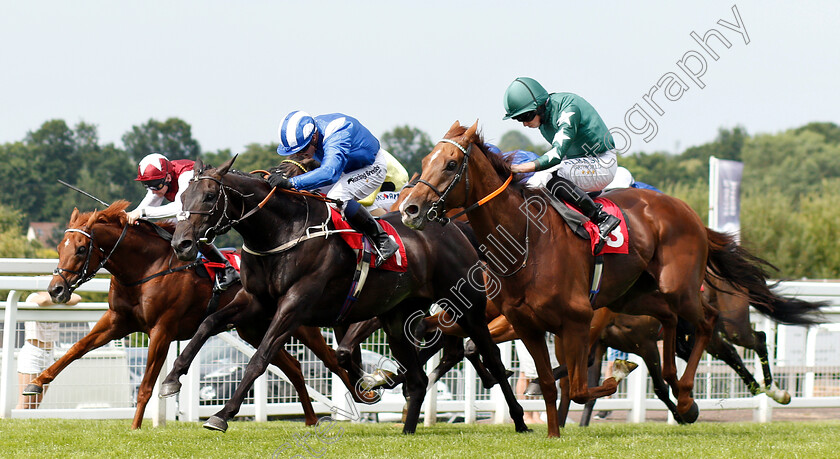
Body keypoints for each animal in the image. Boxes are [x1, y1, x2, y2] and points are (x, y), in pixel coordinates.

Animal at [39, 203, 360, 430]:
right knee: (293, 367)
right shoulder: (117, 321)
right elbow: (76, 349)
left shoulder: (162, 330)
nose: (56, 289)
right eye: (58, 248)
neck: (147, 268)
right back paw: (311, 419)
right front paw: (38, 383)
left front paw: (135, 427)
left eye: (81, 249)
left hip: (298, 323)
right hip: (254, 331)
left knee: (332, 362)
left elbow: (146, 385)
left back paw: (360, 399)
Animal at [167, 157, 528, 434]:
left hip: (467, 307)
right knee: (419, 378)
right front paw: (172, 378)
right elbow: (208, 324)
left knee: (491, 358)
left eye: (210, 196)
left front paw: (221, 415)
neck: (283, 232)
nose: (181, 244)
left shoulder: (295, 306)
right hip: (397, 317)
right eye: (183, 197)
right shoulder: (256, 301)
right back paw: (406, 428)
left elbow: (260, 358)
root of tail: (452, 227)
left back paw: (520, 420)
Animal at [400, 121, 812, 438]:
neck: (525, 239)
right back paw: (680, 390)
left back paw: (694, 394)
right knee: (672, 326)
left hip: (682, 291)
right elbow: (547, 381)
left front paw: (614, 378)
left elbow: (579, 386)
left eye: (451, 164)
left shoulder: (578, 320)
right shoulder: (526, 322)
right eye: (424, 161)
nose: (410, 209)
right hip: (633, 296)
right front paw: (552, 433)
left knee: (716, 328)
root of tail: (688, 212)